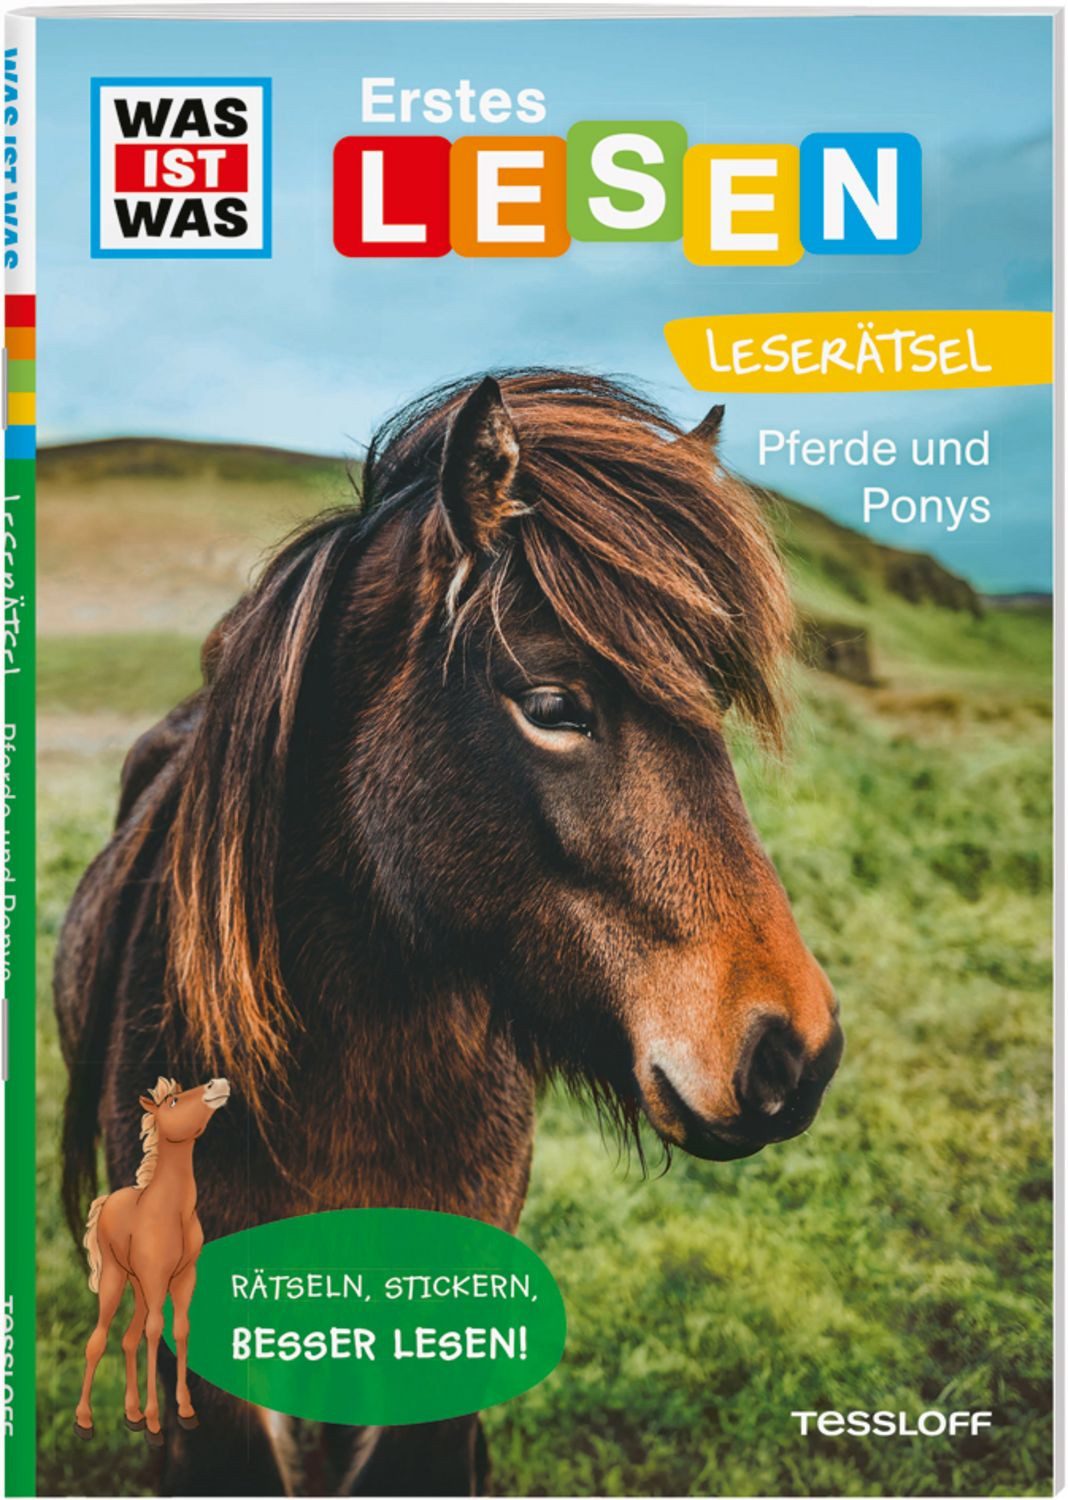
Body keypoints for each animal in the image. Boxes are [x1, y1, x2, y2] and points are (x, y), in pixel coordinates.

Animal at [74, 1076, 231, 1448]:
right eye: (172, 1102)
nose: (217, 1083)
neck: (172, 1210)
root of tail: (106, 1200)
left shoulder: (184, 1278)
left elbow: (180, 1329)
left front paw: (185, 1413)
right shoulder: (158, 1279)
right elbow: (156, 1333)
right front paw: (156, 1425)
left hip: (139, 1285)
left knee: (128, 1339)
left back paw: (132, 1416)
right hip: (116, 1279)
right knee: (97, 1341)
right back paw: (84, 1422)